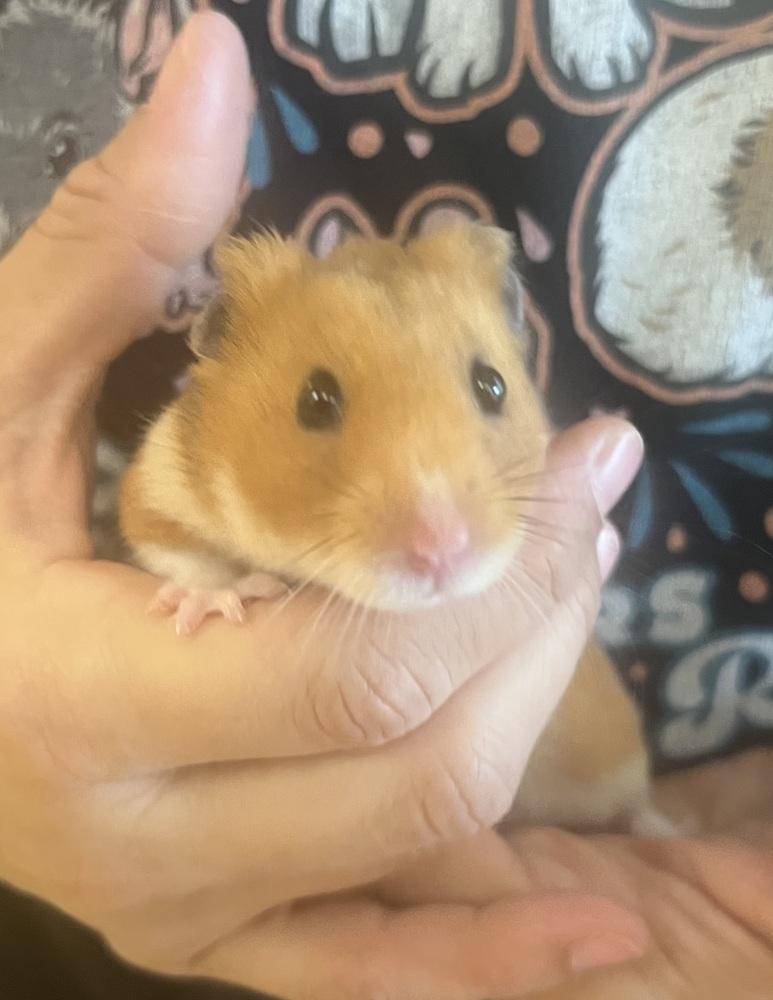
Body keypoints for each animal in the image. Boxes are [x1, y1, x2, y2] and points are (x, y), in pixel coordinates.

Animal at [119, 222, 661, 834]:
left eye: (492, 385)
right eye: (314, 400)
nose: (443, 550)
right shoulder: (156, 485)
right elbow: (182, 552)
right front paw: (212, 603)